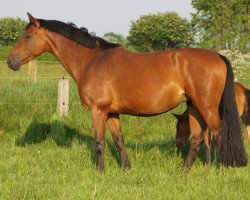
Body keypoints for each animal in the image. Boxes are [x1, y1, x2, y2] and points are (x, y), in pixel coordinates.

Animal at [6, 13, 247, 171]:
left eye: (28, 36)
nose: (10, 61)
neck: (92, 60)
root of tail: (218, 56)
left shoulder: (98, 111)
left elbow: (100, 142)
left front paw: (100, 171)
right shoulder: (112, 112)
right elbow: (118, 140)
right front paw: (126, 168)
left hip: (206, 106)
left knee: (217, 133)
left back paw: (219, 169)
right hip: (193, 106)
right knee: (197, 138)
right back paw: (185, 171)